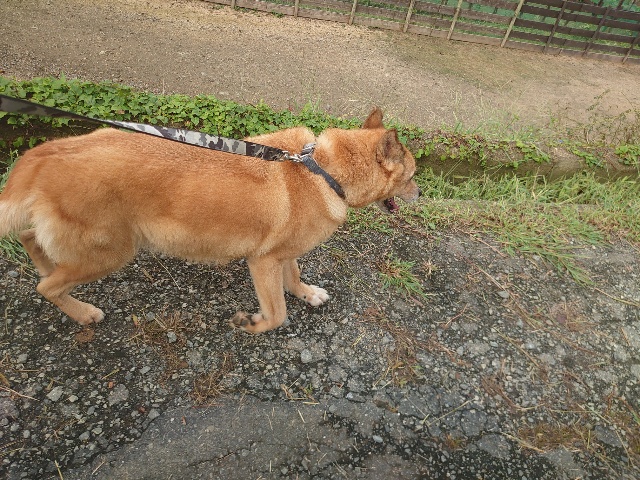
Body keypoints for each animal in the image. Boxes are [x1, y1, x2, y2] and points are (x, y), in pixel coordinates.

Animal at [0, 107, 420, 333]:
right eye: (413, 176)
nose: (420, 194)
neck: (322, 169)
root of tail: (48, 152)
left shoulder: (282, 256)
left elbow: (294, 276)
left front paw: (306, 293)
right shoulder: (263, 262)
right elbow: (277, 314)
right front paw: (253, 324)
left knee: (30, 238)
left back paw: (47, 266)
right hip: (110, 253)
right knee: (47, 288)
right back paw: (82, 311)